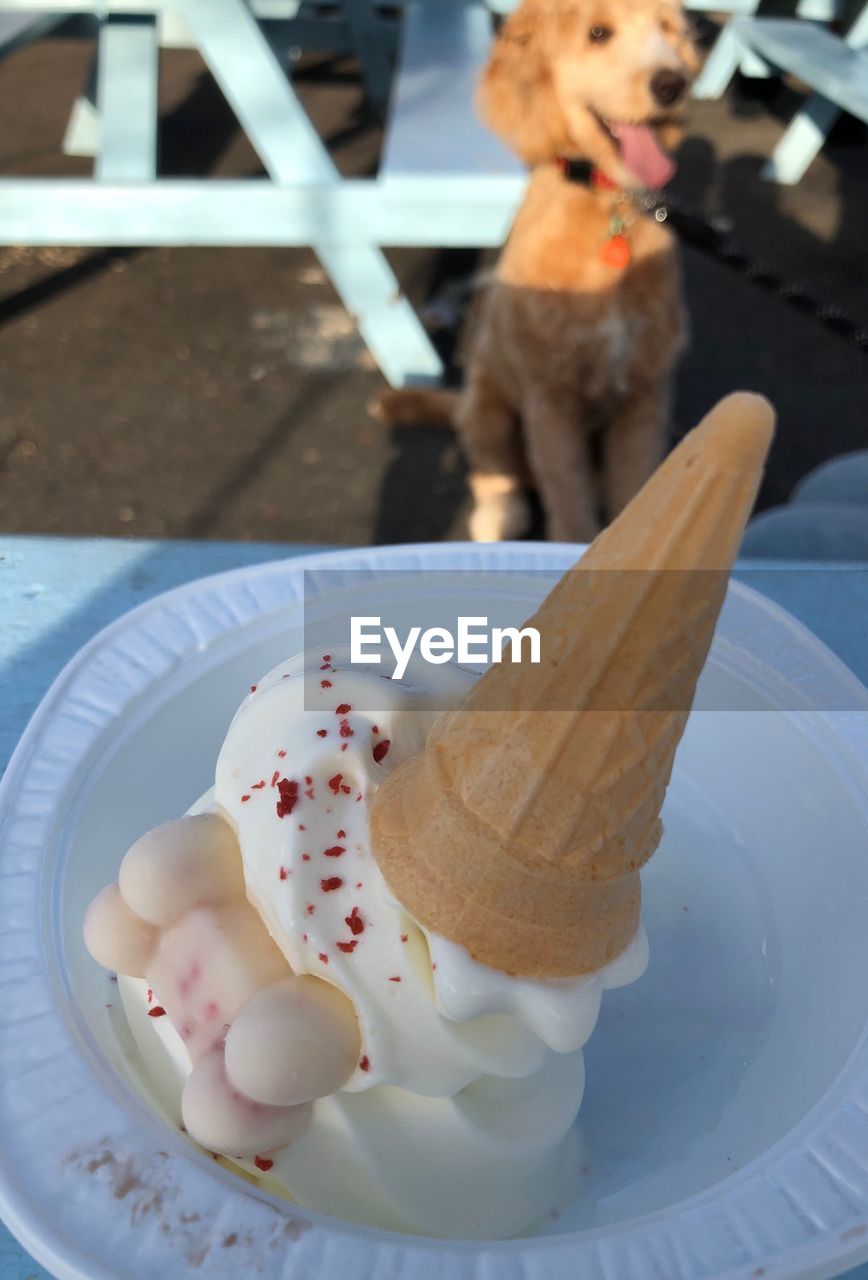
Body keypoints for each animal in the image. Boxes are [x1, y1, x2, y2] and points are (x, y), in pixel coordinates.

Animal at [373, 0, 701, 542]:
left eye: (666, 30)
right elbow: (566, 496)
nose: (673, 84)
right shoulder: (550, 401)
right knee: (494, 472)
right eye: (598, 33)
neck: (606, 204)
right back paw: (499, 515)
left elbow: (635, 484)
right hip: (488, 408)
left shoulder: (644, 395)